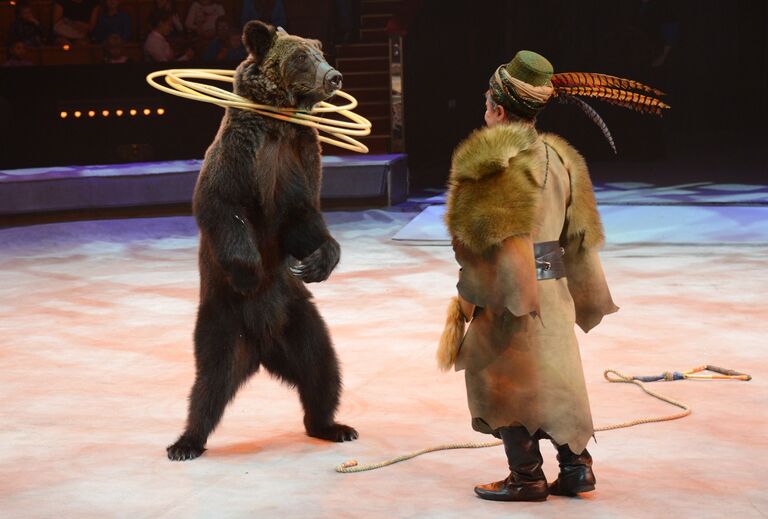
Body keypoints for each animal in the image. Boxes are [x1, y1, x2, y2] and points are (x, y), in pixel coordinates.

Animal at [166, 20, 358, 462]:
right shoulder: (240, 155)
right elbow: (221, 205)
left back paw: (333, 426)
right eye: (302, 56)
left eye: (320, 52)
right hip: (222, 321)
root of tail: (261, 348)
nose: (334, 76)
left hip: (298, 318)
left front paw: (320, 260)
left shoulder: (298, 157)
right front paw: (250, 272)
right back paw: (186, 442)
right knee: (209, 382)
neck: (277, 125)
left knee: (322, 369)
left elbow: (302, 215)